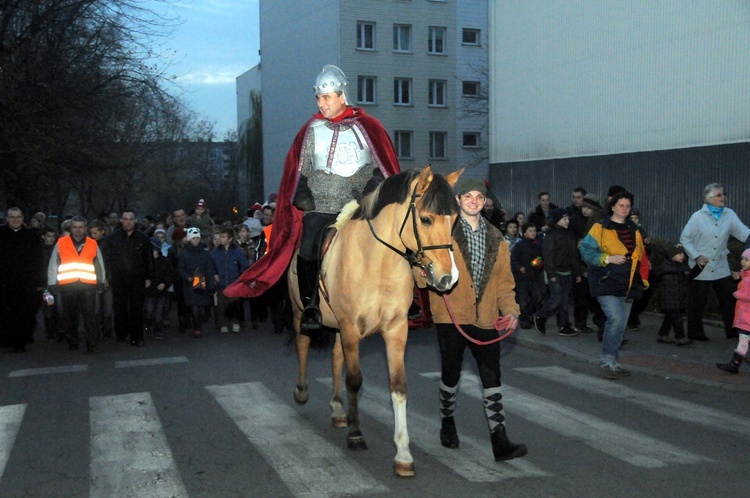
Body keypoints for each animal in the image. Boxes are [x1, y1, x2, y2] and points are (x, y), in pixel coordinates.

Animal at [290, 165, 462, 476]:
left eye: (454, 220)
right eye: (426, 218)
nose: (448, 278)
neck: (378, 263)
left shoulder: (395, 331)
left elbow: (398, 387)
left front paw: (403, 454)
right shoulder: (350, 328)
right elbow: (355, 380)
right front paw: (356, 435)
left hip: (337, 326)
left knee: (335, 357)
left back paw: (338, 410)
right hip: (301, 314)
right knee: (302, 343)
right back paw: (302, 391)